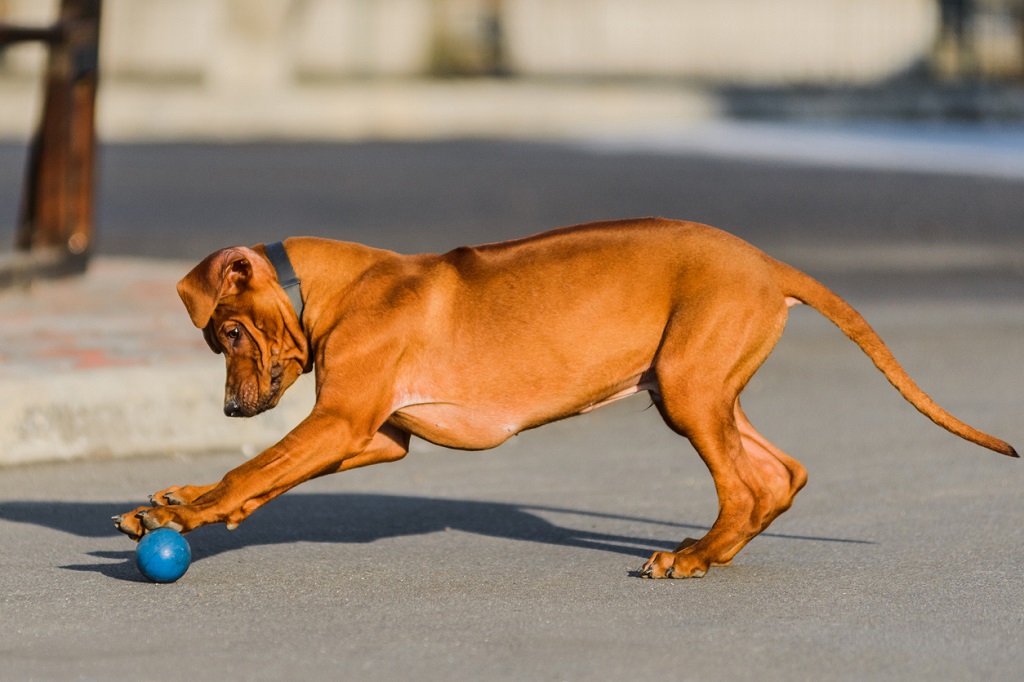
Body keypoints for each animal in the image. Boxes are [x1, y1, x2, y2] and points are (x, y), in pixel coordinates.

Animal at [114, 219, 1015, 577]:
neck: (333, 289)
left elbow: (255, 468)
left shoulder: (340, 422)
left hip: (689, 390)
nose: (230, 413)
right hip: (698, 386)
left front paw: (187, 510)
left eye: (231, 333)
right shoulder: (376, 436)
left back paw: (695, 556)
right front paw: (176, 501)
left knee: (745, 481)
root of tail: (766, 262)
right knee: (780, 472)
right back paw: (720, 547)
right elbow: (262, 478)